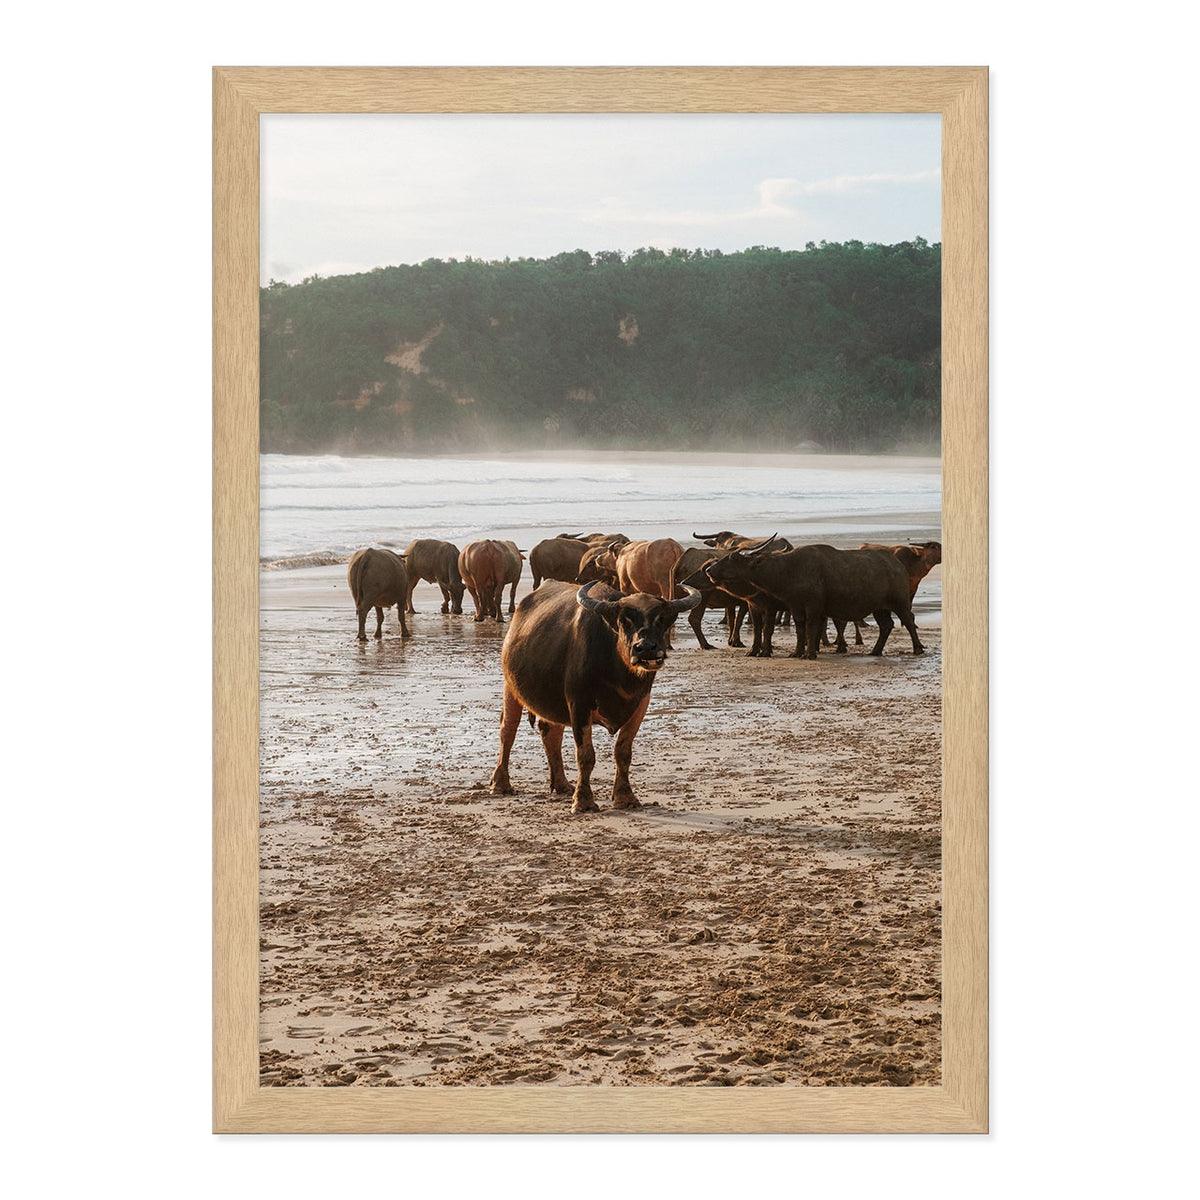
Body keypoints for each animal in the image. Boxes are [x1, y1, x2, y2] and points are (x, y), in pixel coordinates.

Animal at [489, 581, 702, 813]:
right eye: (623, 620)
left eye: (661, 618)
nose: (645, 648)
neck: (619, 675)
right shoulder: (578, 704)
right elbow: (585, 756)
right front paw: (583, 801)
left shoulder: (640, 705)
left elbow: (623, 752)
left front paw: (625, 797)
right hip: (510, 687)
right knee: (507, 730)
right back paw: (500, 784)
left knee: (550, 733)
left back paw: (561, 784)